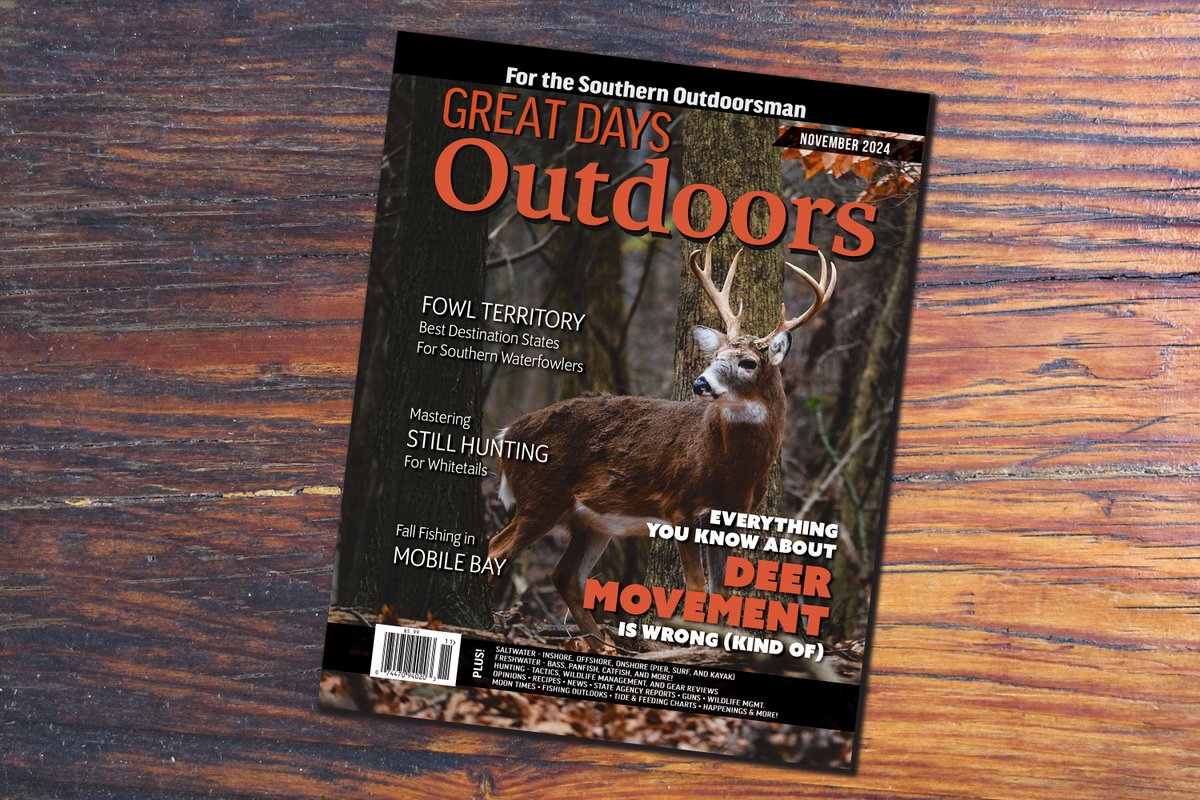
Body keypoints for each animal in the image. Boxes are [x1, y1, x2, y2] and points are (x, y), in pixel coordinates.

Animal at [486, 240, 837, 646]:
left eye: (748, 362)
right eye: (715, 356)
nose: (700, 383)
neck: (731, 471)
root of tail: (508, 433)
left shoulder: (730, 518)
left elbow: (721, 591)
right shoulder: (680, 506)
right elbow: (697, 587)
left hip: (591, 520)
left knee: (565, 575)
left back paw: (603, 644)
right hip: (541, 496)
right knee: (496, 549)